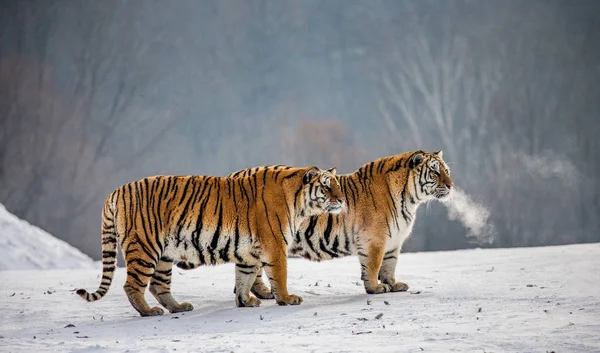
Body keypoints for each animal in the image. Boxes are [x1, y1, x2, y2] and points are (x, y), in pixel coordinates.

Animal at [77, 165, 344, 316]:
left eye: (338, 185)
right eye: (326, 187)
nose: (342, 200)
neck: (300, 202)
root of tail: (116, 191)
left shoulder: (249, 251)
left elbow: (244, 277)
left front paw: (245, 301)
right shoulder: (275, 245)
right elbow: (279, 275)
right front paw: (287, 299)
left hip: (164, 255)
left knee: (158, 285)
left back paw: (178, 307)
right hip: (144, 247)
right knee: (132, 285)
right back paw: (149, 312)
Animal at [227, 149, 452, 296]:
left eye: (447, 171)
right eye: (435, 172)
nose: (451, 185)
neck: (410, 199)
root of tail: (233, 173)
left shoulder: (394, 241)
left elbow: (390, 265)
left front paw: (393, 284)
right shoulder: (375, 239)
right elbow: (373, 265)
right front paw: (375, 288)